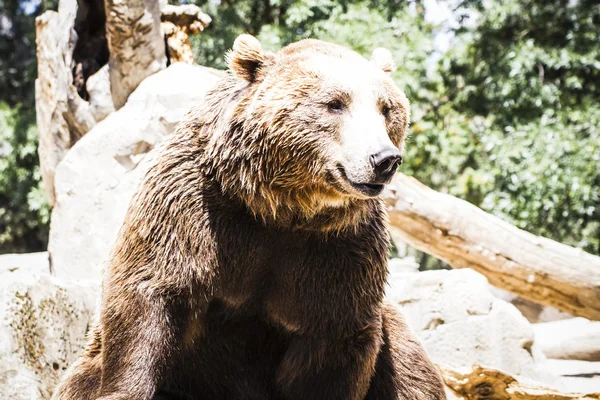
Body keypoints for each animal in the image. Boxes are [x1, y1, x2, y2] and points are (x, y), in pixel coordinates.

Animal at [51, 35, 446, 400]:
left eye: (386, 108)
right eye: (334, 104)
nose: (384, 158)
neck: (281, 207)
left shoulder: (339, 246)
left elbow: (334, 335)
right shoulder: (191, 213)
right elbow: (146, 296)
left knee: (410, 365)